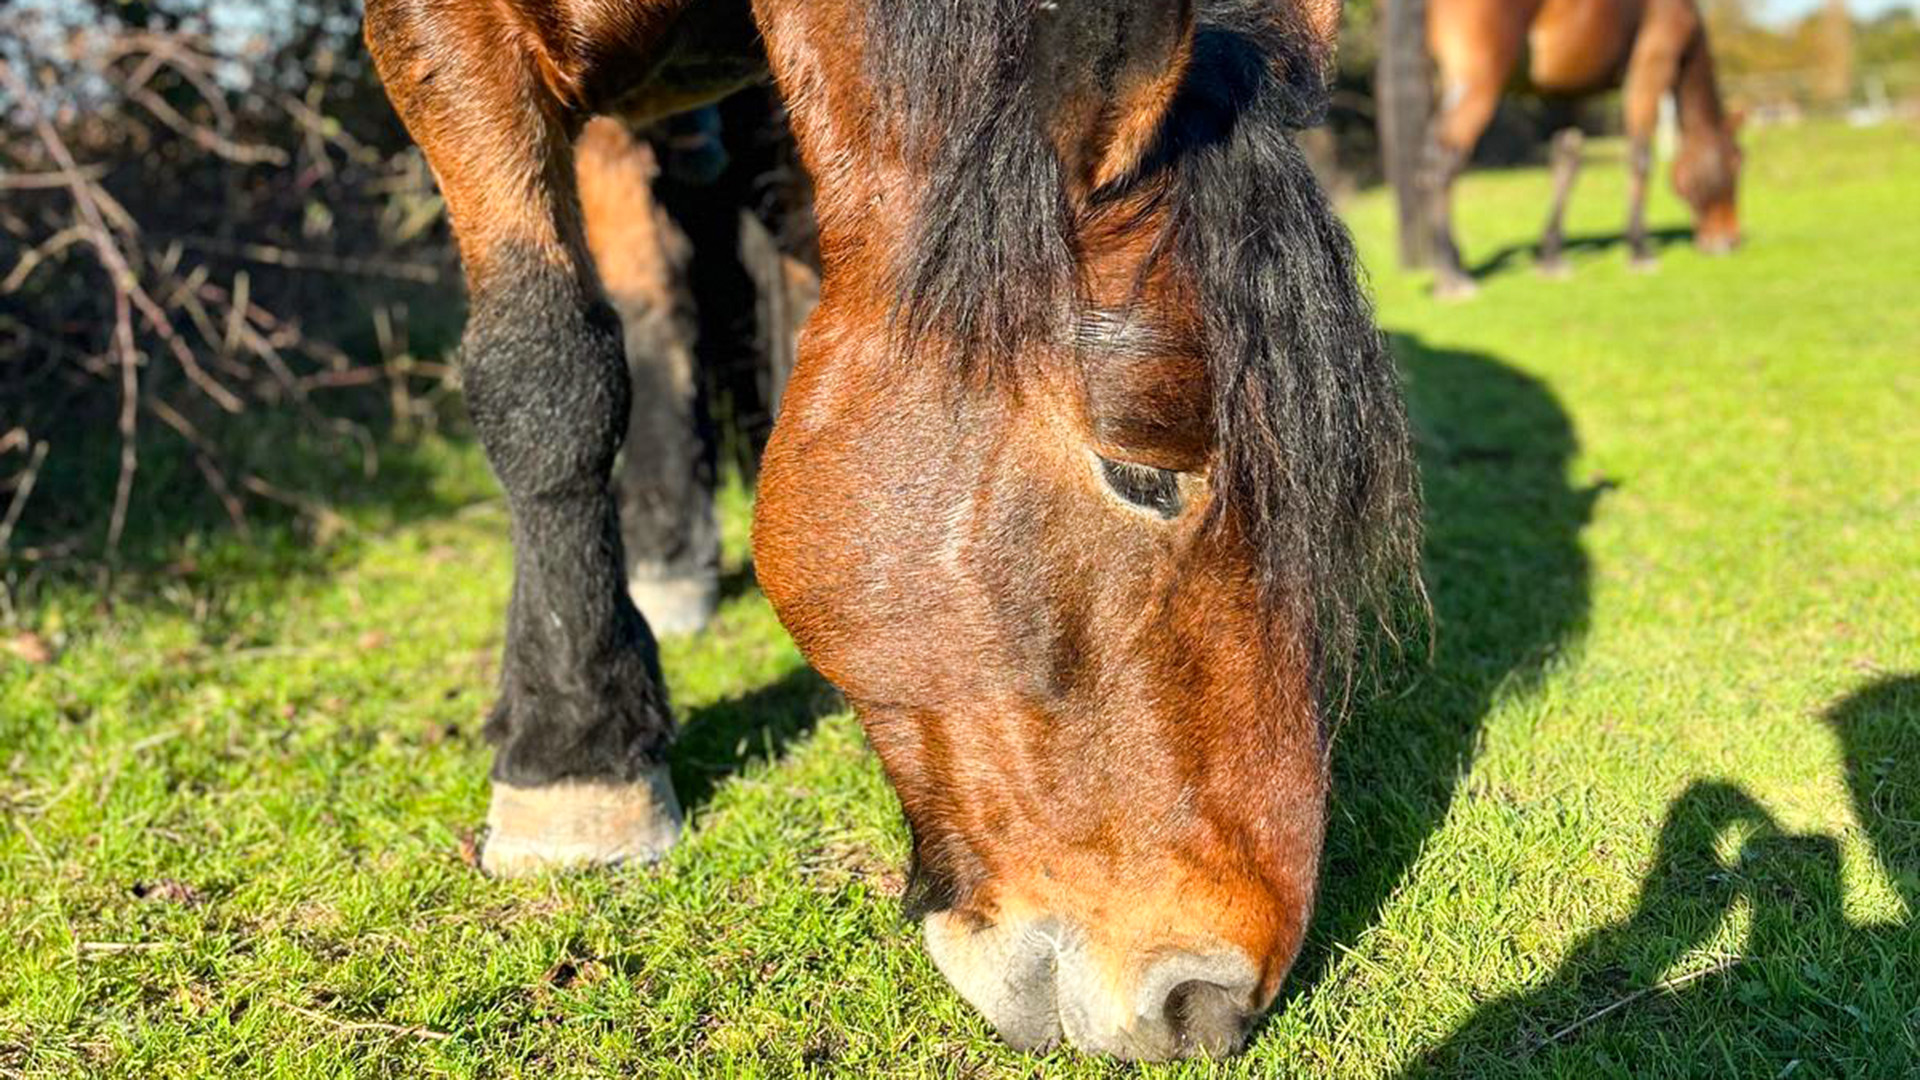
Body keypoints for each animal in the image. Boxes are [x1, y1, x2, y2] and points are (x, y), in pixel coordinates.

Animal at [1379, 0, 1745, 297]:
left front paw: (1553, 257)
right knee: (1441, 166)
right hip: (1476, 81)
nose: (1729, 239)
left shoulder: (1568, 92)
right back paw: (1452, 275)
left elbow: (1566, 164)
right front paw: (1640, 250)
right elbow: (1640, 158)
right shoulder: (1650, 65)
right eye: (1736, 165)